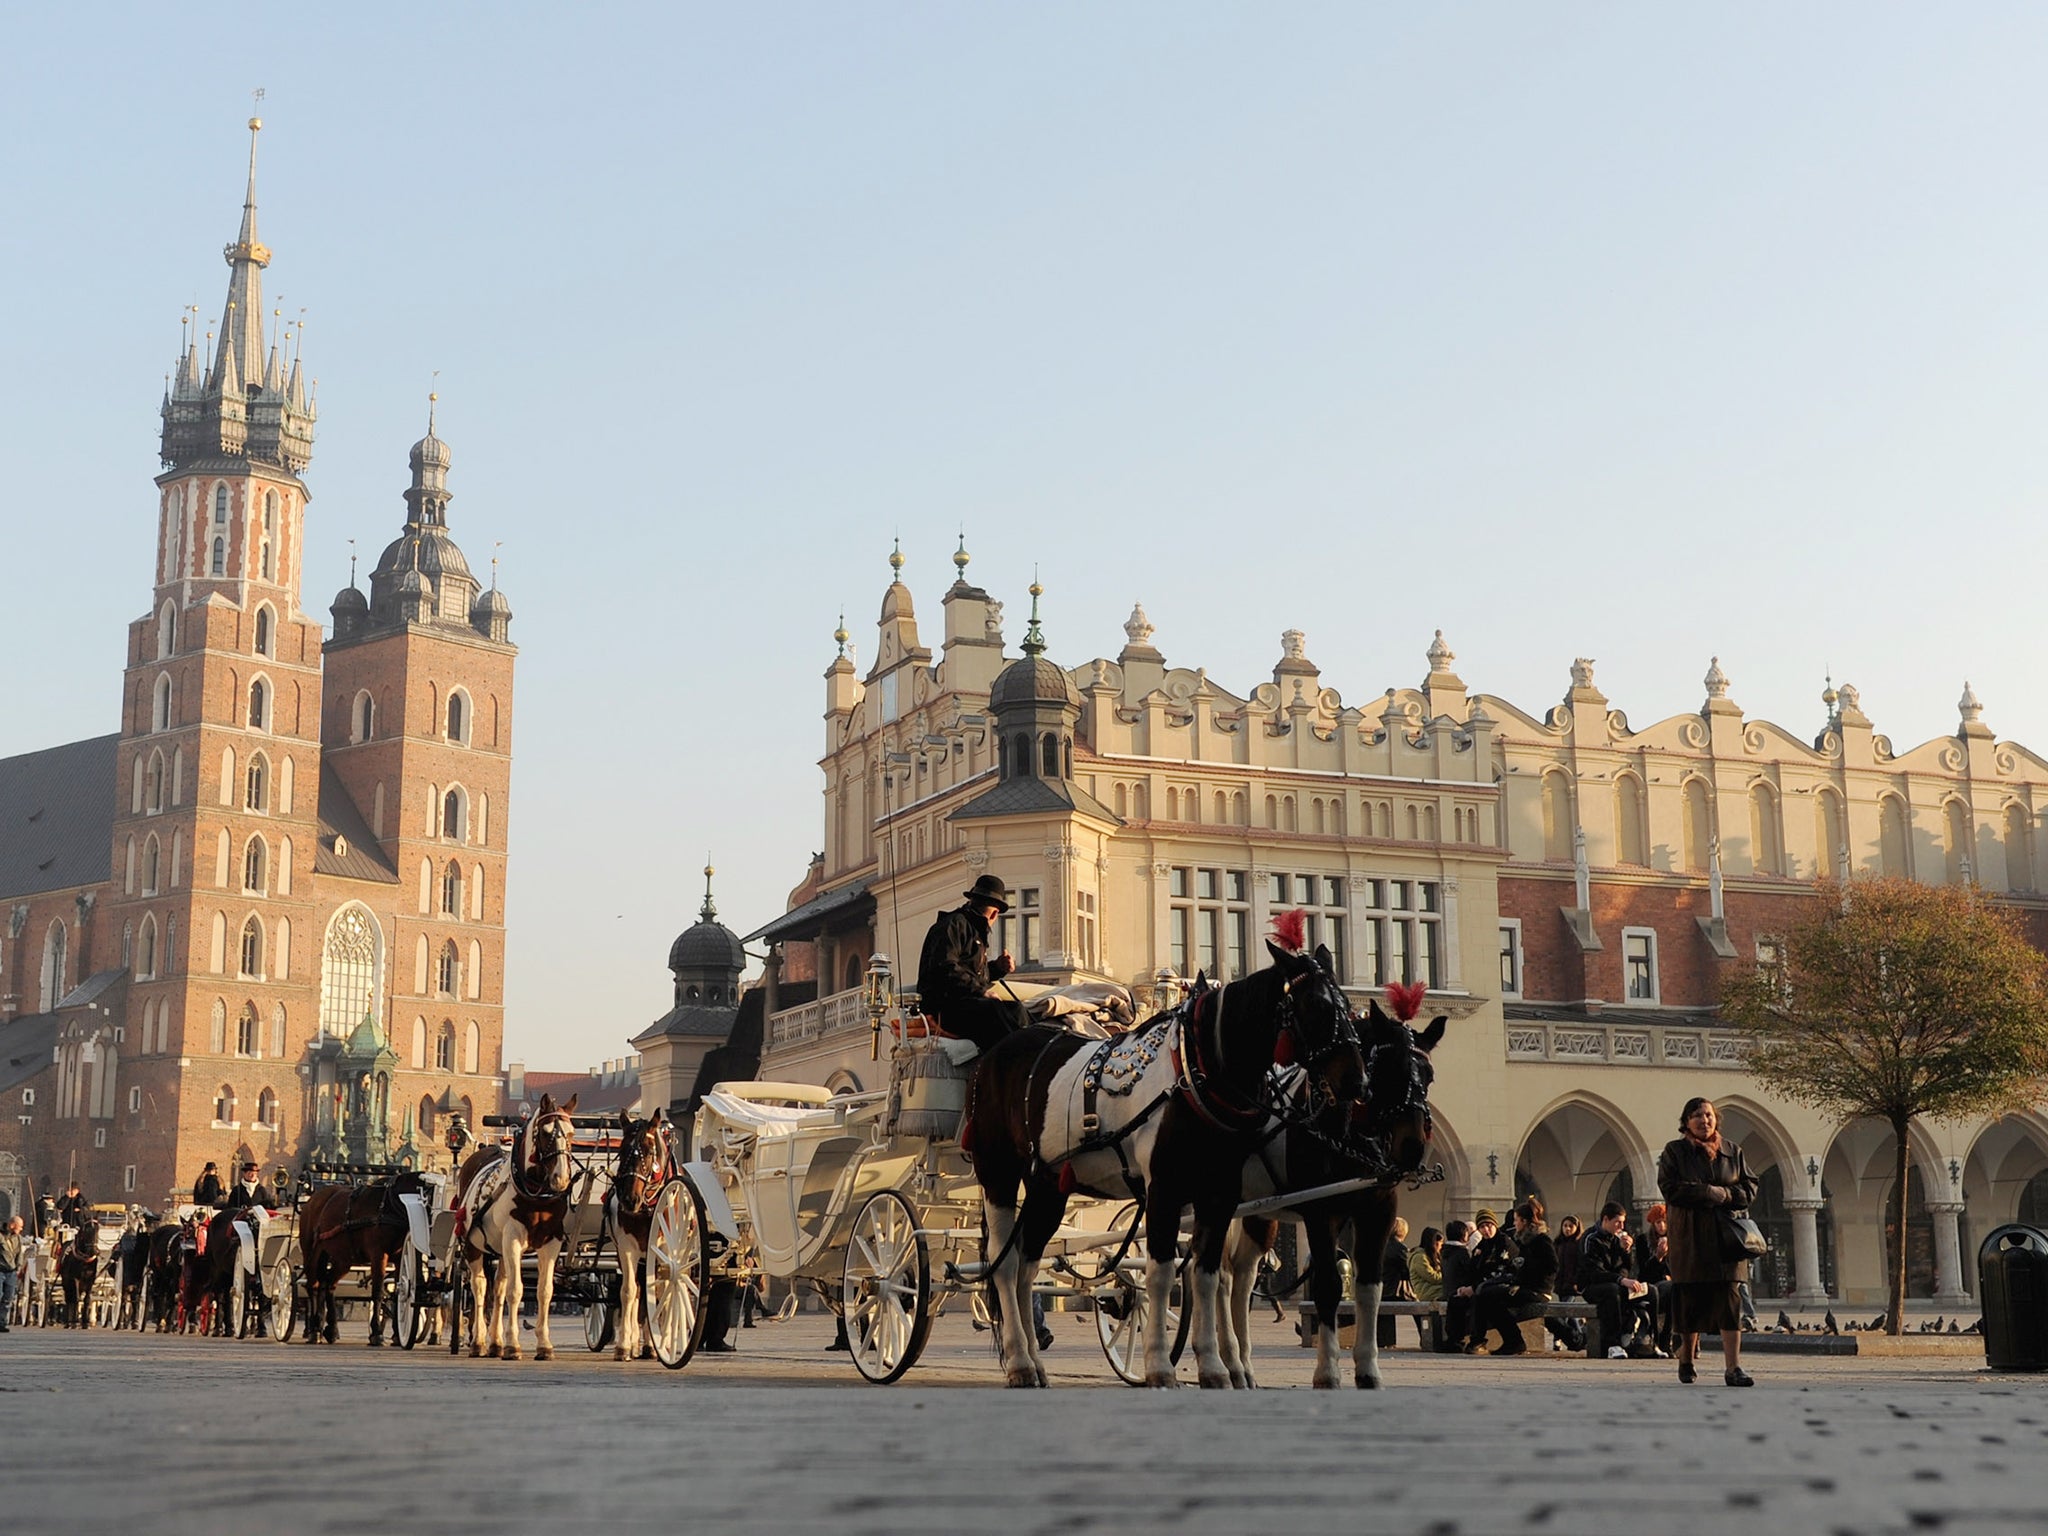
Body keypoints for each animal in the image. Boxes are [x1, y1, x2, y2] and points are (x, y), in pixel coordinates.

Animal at [970, 933, 1368, 1392]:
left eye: (1346, 1004)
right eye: (1317, 1005)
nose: (1357, 1081)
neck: (1197, 1071)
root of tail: (1000, 1050)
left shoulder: (1220, 1194)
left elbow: (1206, 1274)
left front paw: (1213, 1368)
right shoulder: (1164, 1188)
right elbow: (1160, 1274)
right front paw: (1160, 1366)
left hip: (1049, 1184)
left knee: (1027, 1263)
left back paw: (1034, 1363)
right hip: (997, 1171)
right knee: (1004, 1261)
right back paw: (1019, 1361)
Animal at [1220, 991, 1449, 1400]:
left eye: (1429, 1075)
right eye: (1385, 1070)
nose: (1411, 1148)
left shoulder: (1378, 1212)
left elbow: (1370, 1288)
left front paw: (1368, 1370)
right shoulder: (1320, 1213)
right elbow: (1327, 1285)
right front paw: (1327, 1371)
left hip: (1258, 1216)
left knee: (1241, 1279)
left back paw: (1241, 1367)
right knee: (1215, 1278)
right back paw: (1221, 1362)